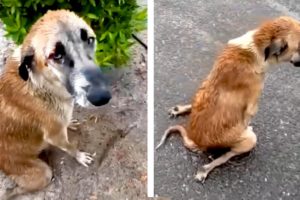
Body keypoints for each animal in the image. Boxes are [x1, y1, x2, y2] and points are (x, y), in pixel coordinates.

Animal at [0, 9, 111, 198]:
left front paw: (70, 123)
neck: (42, 85)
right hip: (43, 173)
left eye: (89, 39)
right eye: (56, 55)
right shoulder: (55, 136)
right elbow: (70, 147)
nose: (102, 97)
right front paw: (79, 156)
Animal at [156, 16, 300, 183]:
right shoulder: (252, 106)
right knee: (226, 155)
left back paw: (180, 109)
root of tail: (196, 141)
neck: (256, 45)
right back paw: (206, 168)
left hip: (203, 86)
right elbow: (247, 118)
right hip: (250, 139)